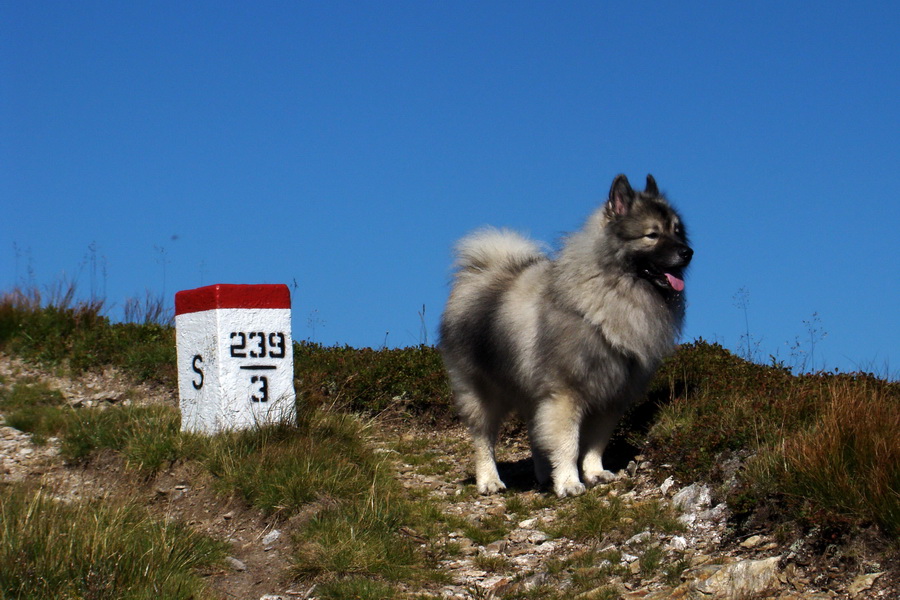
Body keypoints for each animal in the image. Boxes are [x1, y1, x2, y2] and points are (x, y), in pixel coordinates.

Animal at [440, 173, 692, 496]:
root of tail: (480, 272)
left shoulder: (610, 396)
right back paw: (489, 480)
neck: (612, 290)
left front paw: (594, 473)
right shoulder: (566, 394)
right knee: (484, 438)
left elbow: (596, 443)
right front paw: (570, 483)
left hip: (530, 391)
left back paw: (544, 474)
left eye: (677, 231)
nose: (688, 252)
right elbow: (568, 445)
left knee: (534, 432)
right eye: (652, 234)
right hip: (482, 392)